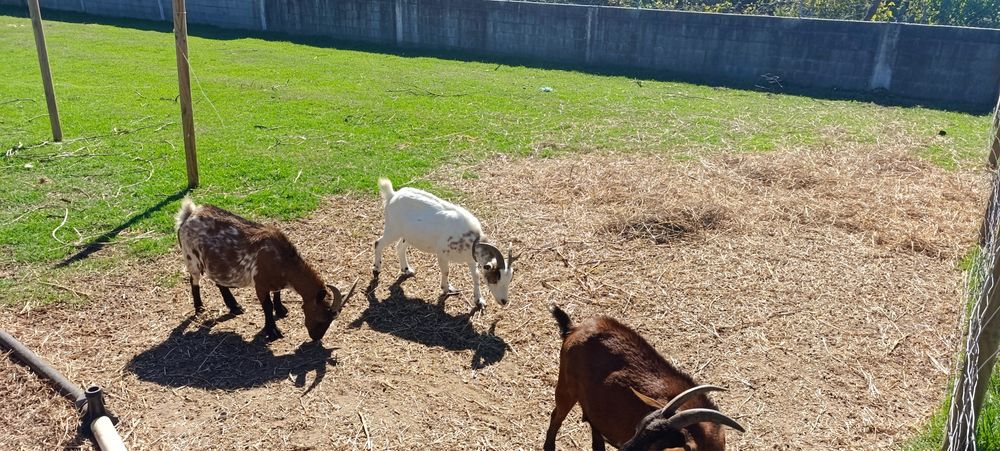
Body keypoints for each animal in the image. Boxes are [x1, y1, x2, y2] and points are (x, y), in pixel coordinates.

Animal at [175, 197, 357, 341]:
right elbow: (267, 306)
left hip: (215, 263)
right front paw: (273, 331)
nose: (316, 337)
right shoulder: (260, 284)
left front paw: (281, 310)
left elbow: (277, 294)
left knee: (219, 281)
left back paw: (235, 306)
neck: (282, 259)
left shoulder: (276, 282)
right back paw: (199, 307)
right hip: (191, 258)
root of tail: (189, 214)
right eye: (320, 317)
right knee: (194, 280)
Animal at [372, 178, 516, 312]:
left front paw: (479, 301)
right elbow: (446, 271)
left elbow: (476, 276)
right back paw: (377, 269)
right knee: (378, 243)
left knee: (399, 247)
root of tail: (392, 195)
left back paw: (407, 270)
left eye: (509, 280)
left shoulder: (471, 259)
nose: (504, 301)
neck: (471, 239)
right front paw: (447, 288)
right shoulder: (442, 254)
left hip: (408, 235)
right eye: (495, 279)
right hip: (392, 229)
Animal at [544, 305, 744, 451]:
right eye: (637, 429)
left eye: (657, 447)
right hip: (566, 388)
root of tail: (575, 328)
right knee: (556, 416)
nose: (623, 449)